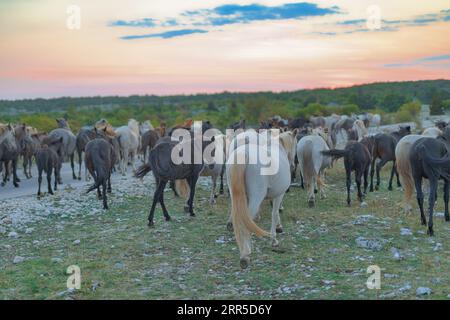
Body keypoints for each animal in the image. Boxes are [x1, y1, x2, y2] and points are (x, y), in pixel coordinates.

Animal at [227, 132, 294, 268]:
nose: (294, 166)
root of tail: (244, 153)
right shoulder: (279, 195)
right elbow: (275, 213)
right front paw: (274, 238)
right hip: (256, 197)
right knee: (245, 220)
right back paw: (245, 255)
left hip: (235, 195)